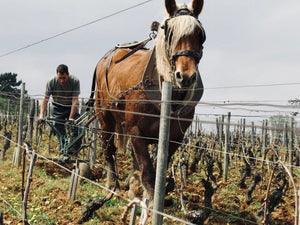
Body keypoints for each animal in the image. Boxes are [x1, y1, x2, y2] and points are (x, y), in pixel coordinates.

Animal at [93, 0, 206, 200]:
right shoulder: (135, 130)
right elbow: (147, 169)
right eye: (170, 34)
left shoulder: (175, 137)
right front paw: (152, 201)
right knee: (109, 150)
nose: (185, 77)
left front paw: (145, 190)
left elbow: (158, 167)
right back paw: (112, 185)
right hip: (104, 118)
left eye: (200, 35)